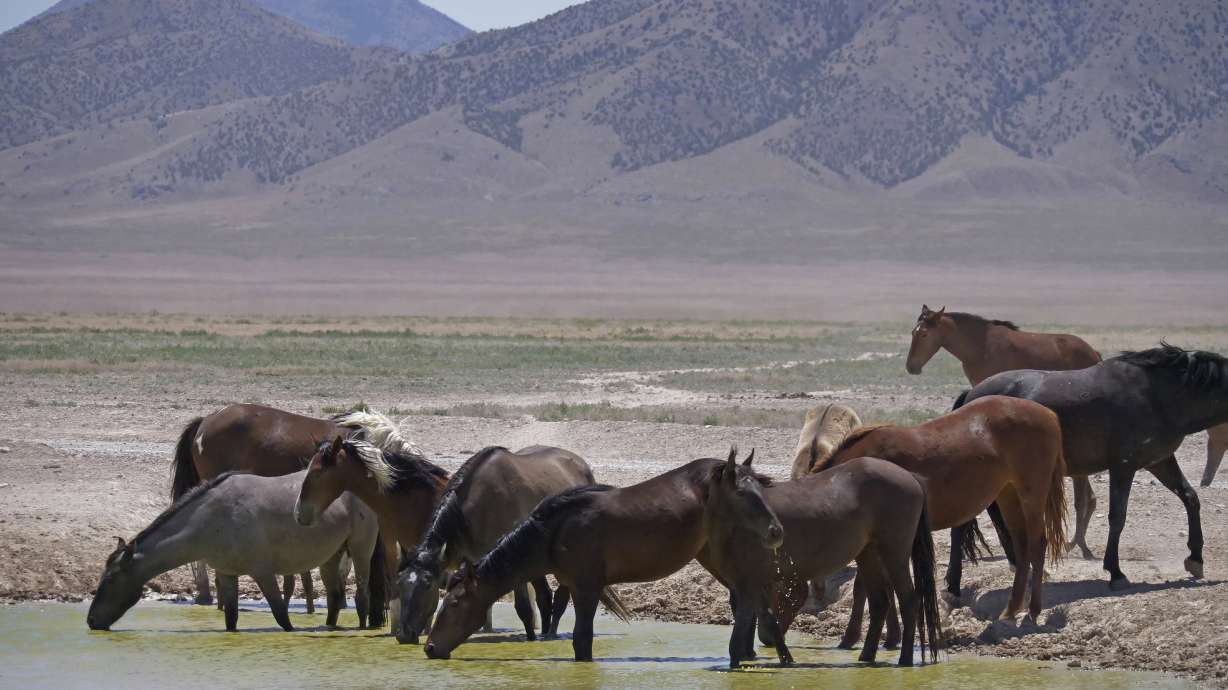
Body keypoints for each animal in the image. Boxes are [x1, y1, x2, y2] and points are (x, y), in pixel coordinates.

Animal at [88, 470, 384, 632]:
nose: (91, 621)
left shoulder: (262, 572)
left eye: (110, 581)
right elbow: (231, 618)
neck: (212, 518)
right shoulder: (227, 573)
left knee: (361, 595)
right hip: (331, 557)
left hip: (360, 551)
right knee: (335, 598)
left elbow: (281, 615)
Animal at [395, 445, 597, 645]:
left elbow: (523, 608)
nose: (404, 635)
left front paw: (530, 640)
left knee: (560, 598)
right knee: (544, 597)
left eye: (428, 584)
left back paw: (552, 634)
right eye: (400, 584)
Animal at [706, 449, 941, 668]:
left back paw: (905, 660)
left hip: (894, 554)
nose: (776, 531)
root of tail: (910, 476)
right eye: (740, 493)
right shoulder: (747, 585)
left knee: (909, 601)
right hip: (869, 555)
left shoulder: (751, 583)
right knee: (879, 603)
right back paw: (866, 658)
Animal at [812, 396, 1067, 647]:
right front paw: (891, 636)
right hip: (1008, 494)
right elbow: (882, 588)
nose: (816, 596)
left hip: (1031, 494)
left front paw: (851, 637)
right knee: (1022, 549)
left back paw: (1033, 610)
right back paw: (1011, 609)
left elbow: (865, 588)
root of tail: (1048, 413)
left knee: (1037, 546)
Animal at [960, 344, 1228, 590]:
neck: (1157, 395)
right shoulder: (1123, 467)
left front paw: (1195, 559)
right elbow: (1117, 516)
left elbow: (1190, 498)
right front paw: (1116, 572)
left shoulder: (1160, 462)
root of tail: (972, 395)